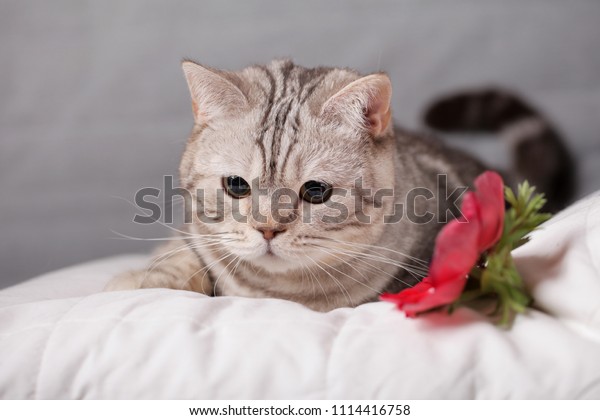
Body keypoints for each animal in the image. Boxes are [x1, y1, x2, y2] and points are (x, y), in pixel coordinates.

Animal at [105, 57, 576, 310]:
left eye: (316, 192)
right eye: (236, 185)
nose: (268, 229)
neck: (273, 290)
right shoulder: (195, 239)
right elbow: (177, 262)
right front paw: (141, 279)